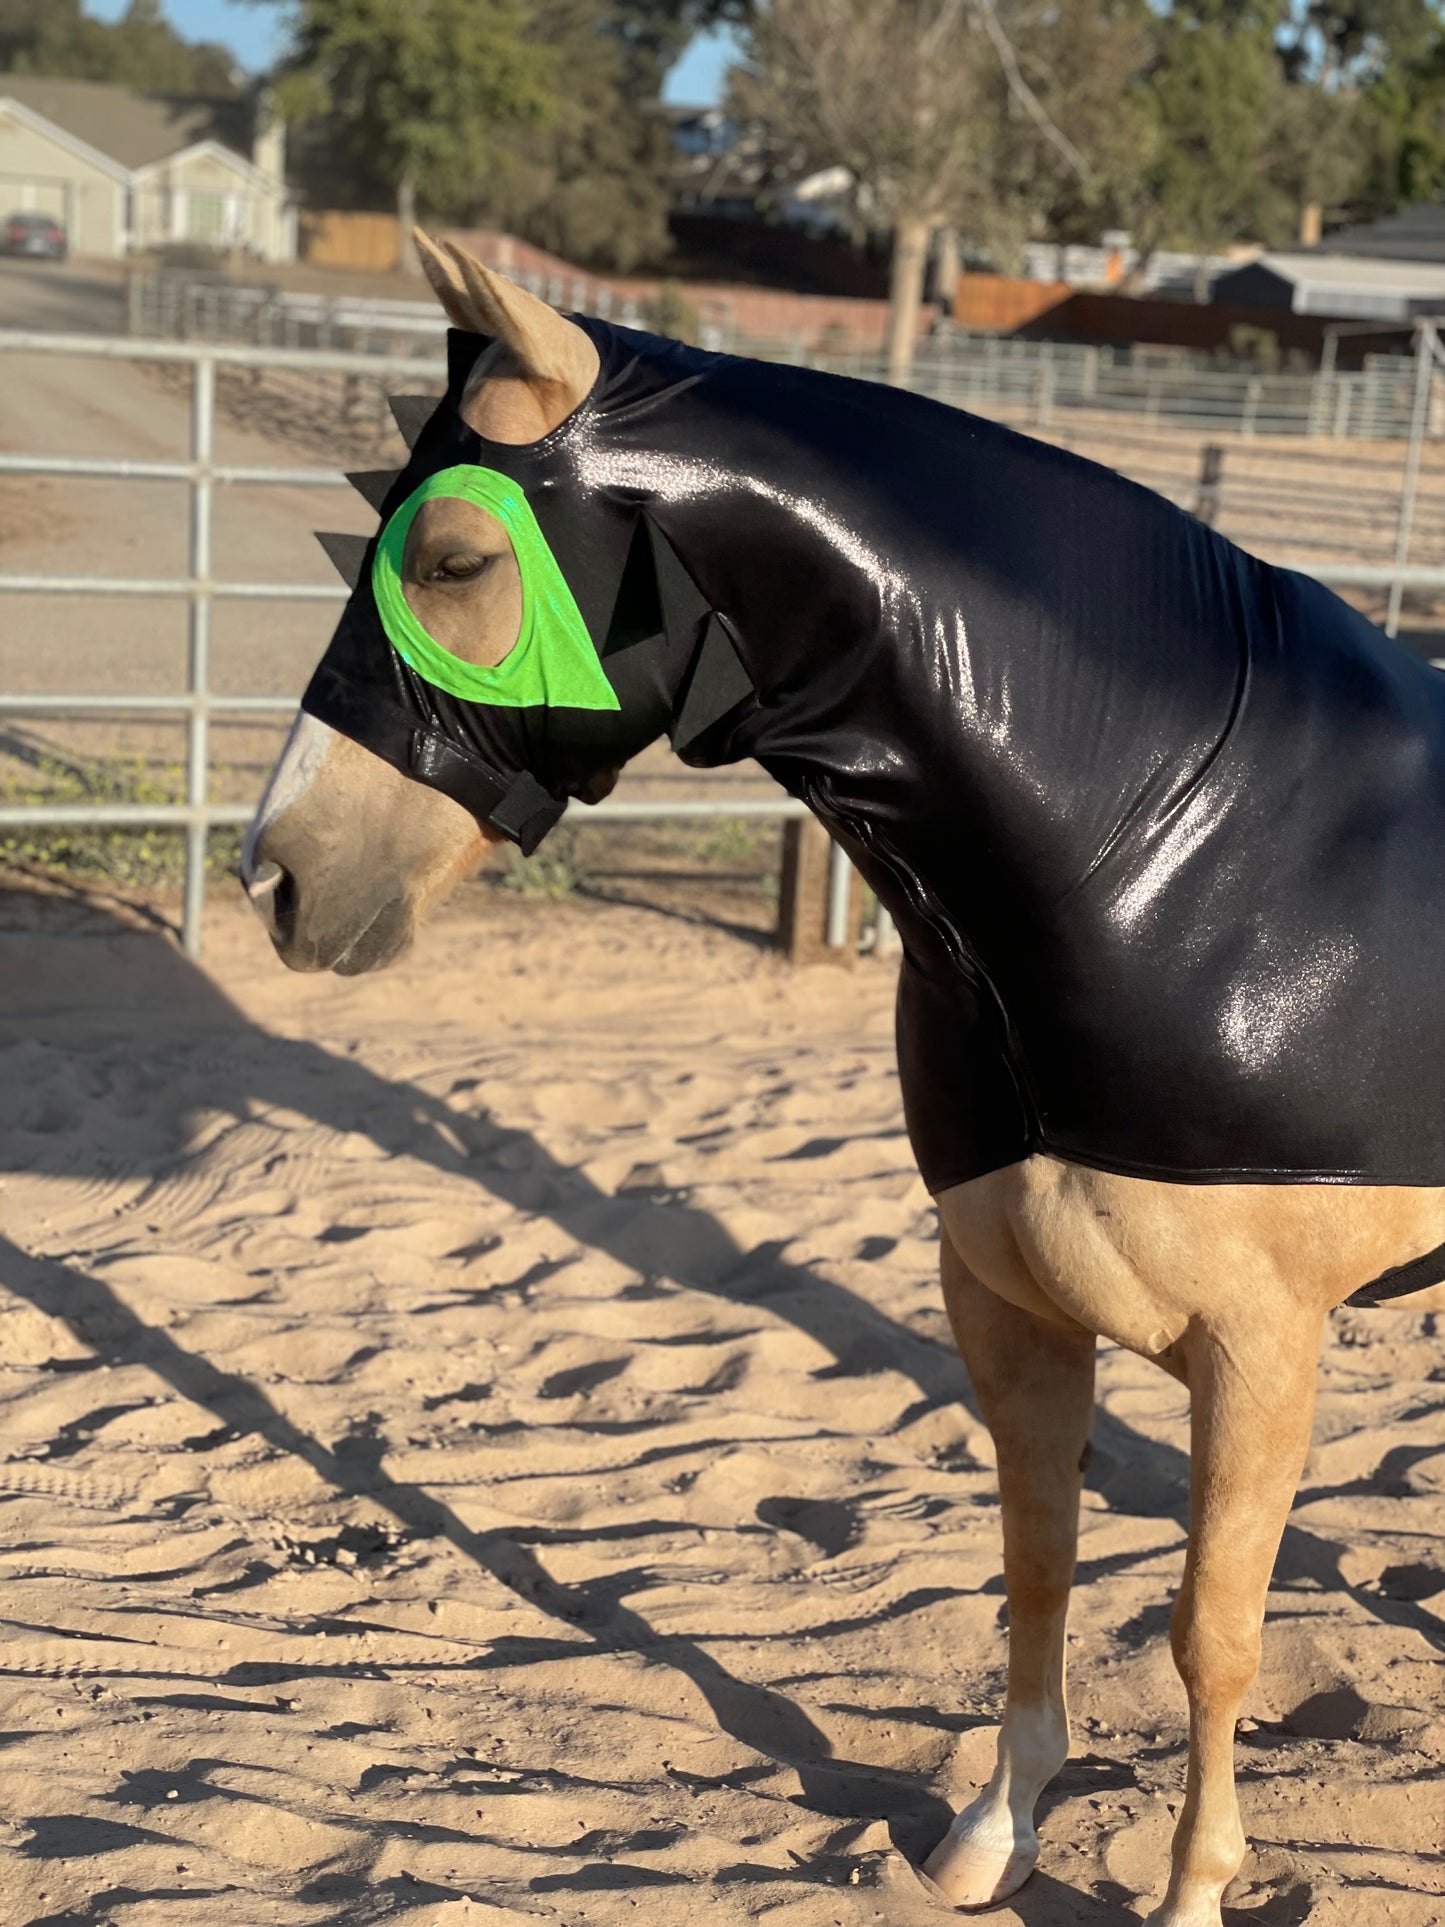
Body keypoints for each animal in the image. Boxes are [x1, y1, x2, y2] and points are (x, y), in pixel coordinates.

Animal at [241, 232, 1445, 1926]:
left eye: (460, 557)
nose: (274, 876)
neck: (1161, 835)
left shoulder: (1261, 1346)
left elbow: (1212, 1633)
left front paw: (1193, 1888)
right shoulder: (1003, 1303)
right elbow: (1034, 1558)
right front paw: (989, 1834)